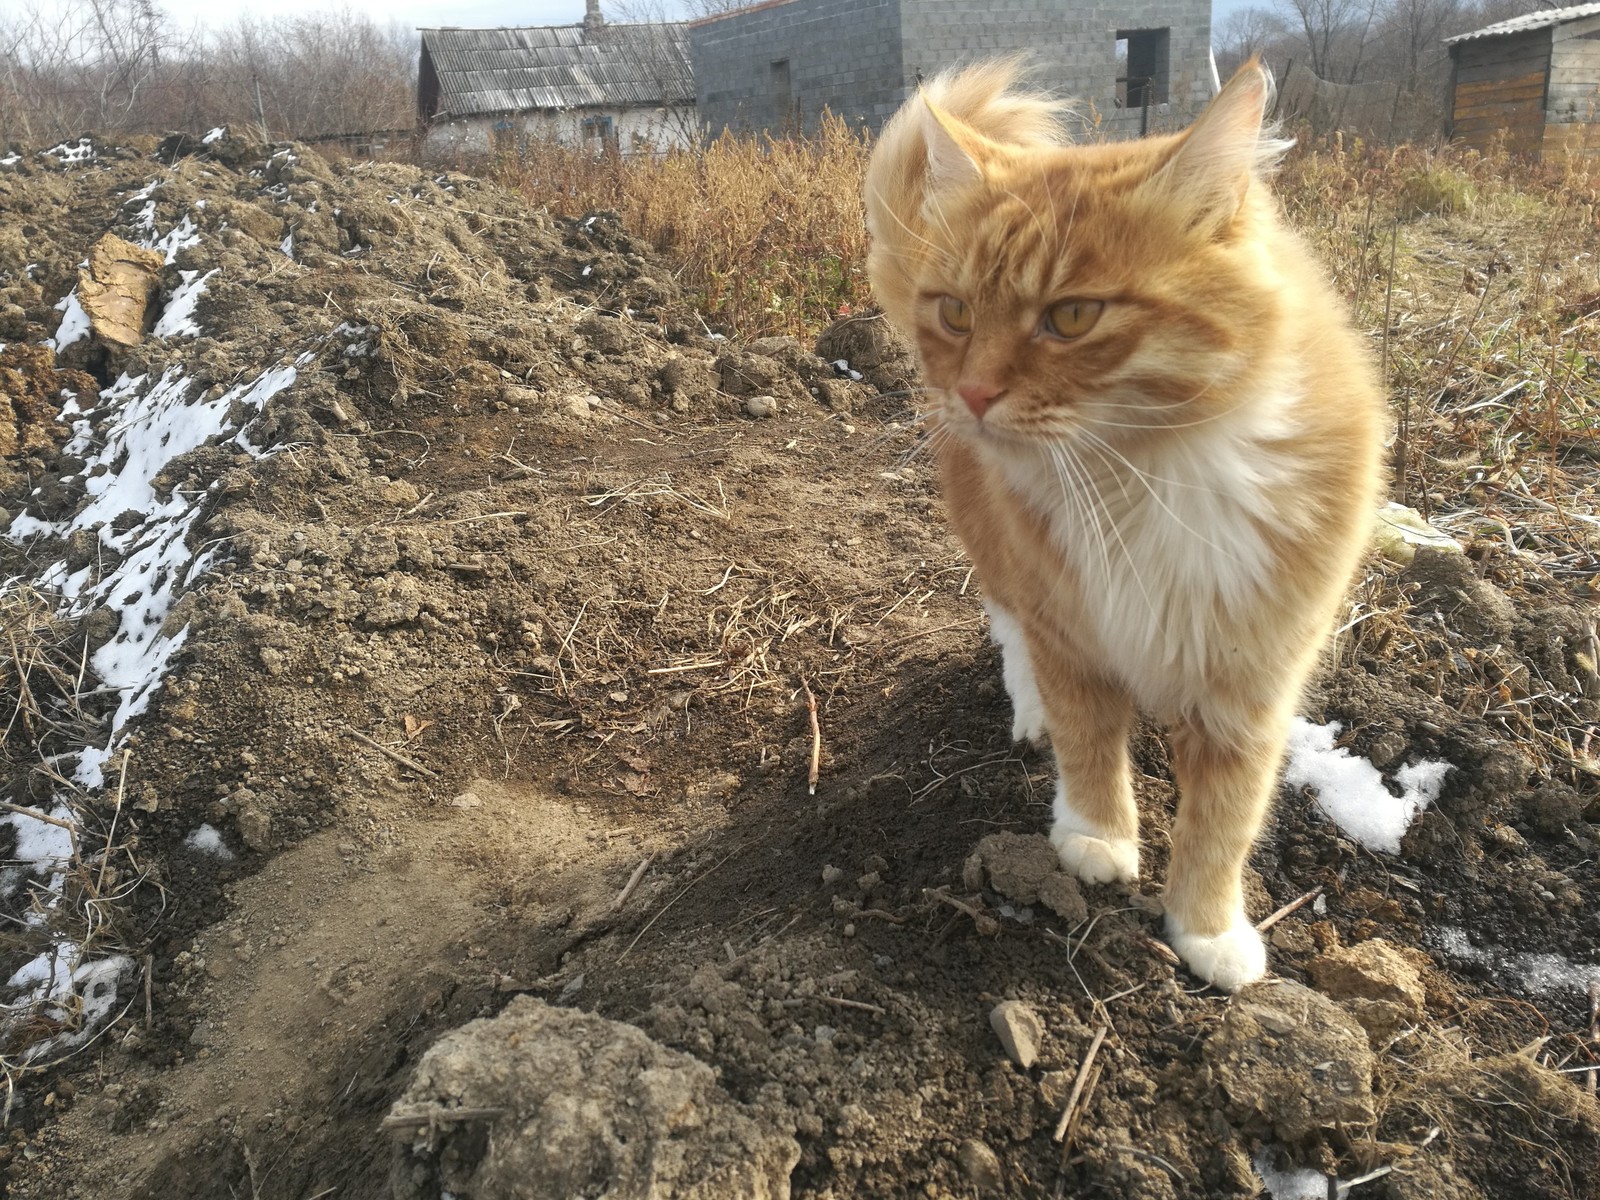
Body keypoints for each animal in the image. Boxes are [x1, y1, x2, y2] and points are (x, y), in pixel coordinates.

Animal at [864, 61, 1388, 992]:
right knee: (1007, 632)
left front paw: (1208, 929)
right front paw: (1097, 838)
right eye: (956, 311)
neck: (1150, 474)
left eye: (1072, 317)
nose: (971, 395)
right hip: (999, 558)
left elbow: (1225, 817)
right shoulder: (1068, 630)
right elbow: (1087, 741)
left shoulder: (1255, 677)